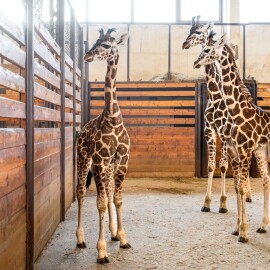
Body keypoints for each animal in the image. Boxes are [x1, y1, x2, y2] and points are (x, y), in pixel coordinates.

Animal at [182, 16, 252, 213]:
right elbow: (212, 166)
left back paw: (247, 194)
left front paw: (223, 203)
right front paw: (206, 202)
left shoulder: (225, 133)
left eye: (198, 32)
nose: (184, 44)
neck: (215, 95)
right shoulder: (209, 131)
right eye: (189, 30)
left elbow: (223, 166)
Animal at [194, 33, 270, 243]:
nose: (195, 62)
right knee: (266, 179)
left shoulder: (244, 151)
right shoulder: (237, 151)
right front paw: (238, 228)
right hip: (262, 150)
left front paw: (243, 231)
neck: (237, 111)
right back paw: (262, 226)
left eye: (206, 49)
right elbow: (237, 186)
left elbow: (241, 187)